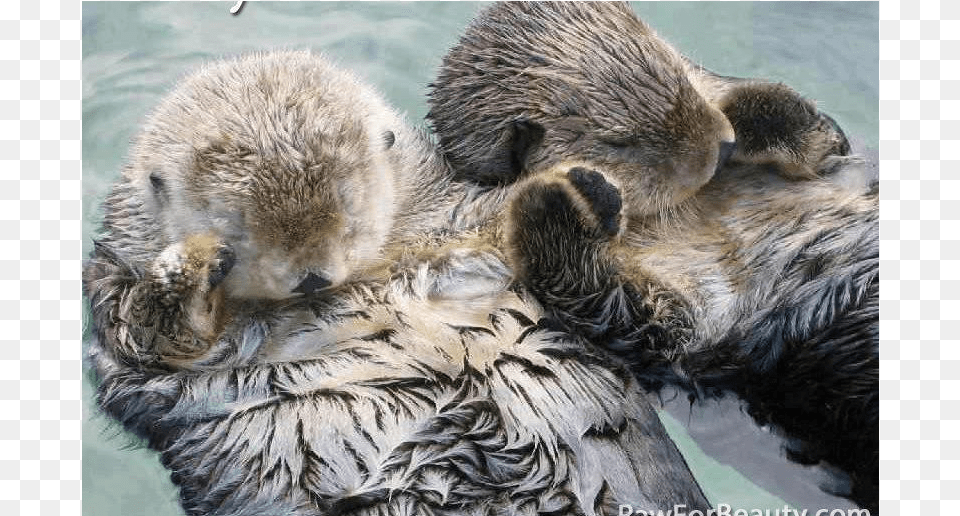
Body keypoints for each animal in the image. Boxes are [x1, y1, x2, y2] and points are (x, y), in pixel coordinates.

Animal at [84, 51, 712, 516]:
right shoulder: (122, 315)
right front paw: (191, 261)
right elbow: (152, 340)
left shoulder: (458, 226)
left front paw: (579, 190)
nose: (311, 277)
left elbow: (659, 329)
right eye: (236, 227)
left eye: (349, 206)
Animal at [428, 3, 876, 512]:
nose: (722, 146)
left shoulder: (842, 166)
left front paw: (749, 116)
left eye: (680, 74)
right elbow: (617, 310)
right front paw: (564, 195)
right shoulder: (685, 329)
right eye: (620, 142)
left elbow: (829, 137)